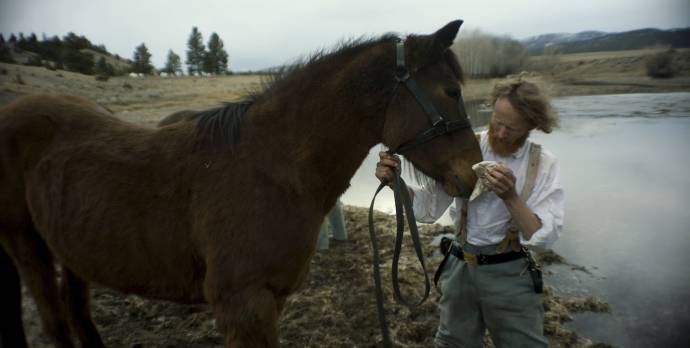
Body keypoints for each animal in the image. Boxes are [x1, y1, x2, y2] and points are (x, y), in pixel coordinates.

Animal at [0, 20, 482, 346]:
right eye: (451, 91)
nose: (472, 173)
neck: (268, 167)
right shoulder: (242, 306)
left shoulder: (270, 300)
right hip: (27, 246)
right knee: (55, 323)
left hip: (71, 247)